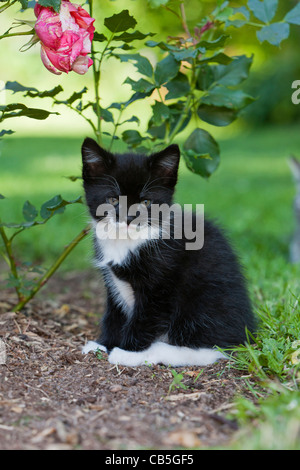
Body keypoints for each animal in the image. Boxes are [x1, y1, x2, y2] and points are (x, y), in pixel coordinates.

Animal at [81, 138, 255, 366]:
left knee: (213, 346)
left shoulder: (162, 282)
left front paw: (128, 351)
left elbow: (147, 317)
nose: (129, 218)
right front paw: (103, 344)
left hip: (203, 299)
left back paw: (158, 350)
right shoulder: (111, 279)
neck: (128, 242)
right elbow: (114, 312)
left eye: (146, 202)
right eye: (113, 200)